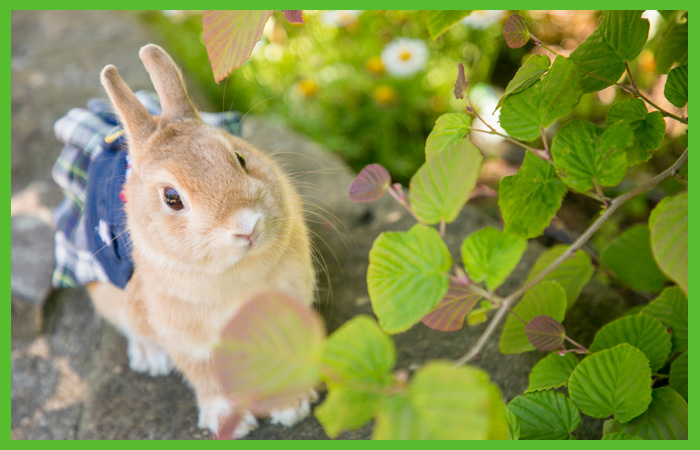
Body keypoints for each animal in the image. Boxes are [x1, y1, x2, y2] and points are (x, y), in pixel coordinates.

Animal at [86, 45, 316, 440]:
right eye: (172, 198)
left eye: (239, 157)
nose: (247, 225)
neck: (237, 275)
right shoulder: (189, 341)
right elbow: (207, 379)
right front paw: (228, 424)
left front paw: (292, 407)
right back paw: (150, 359)